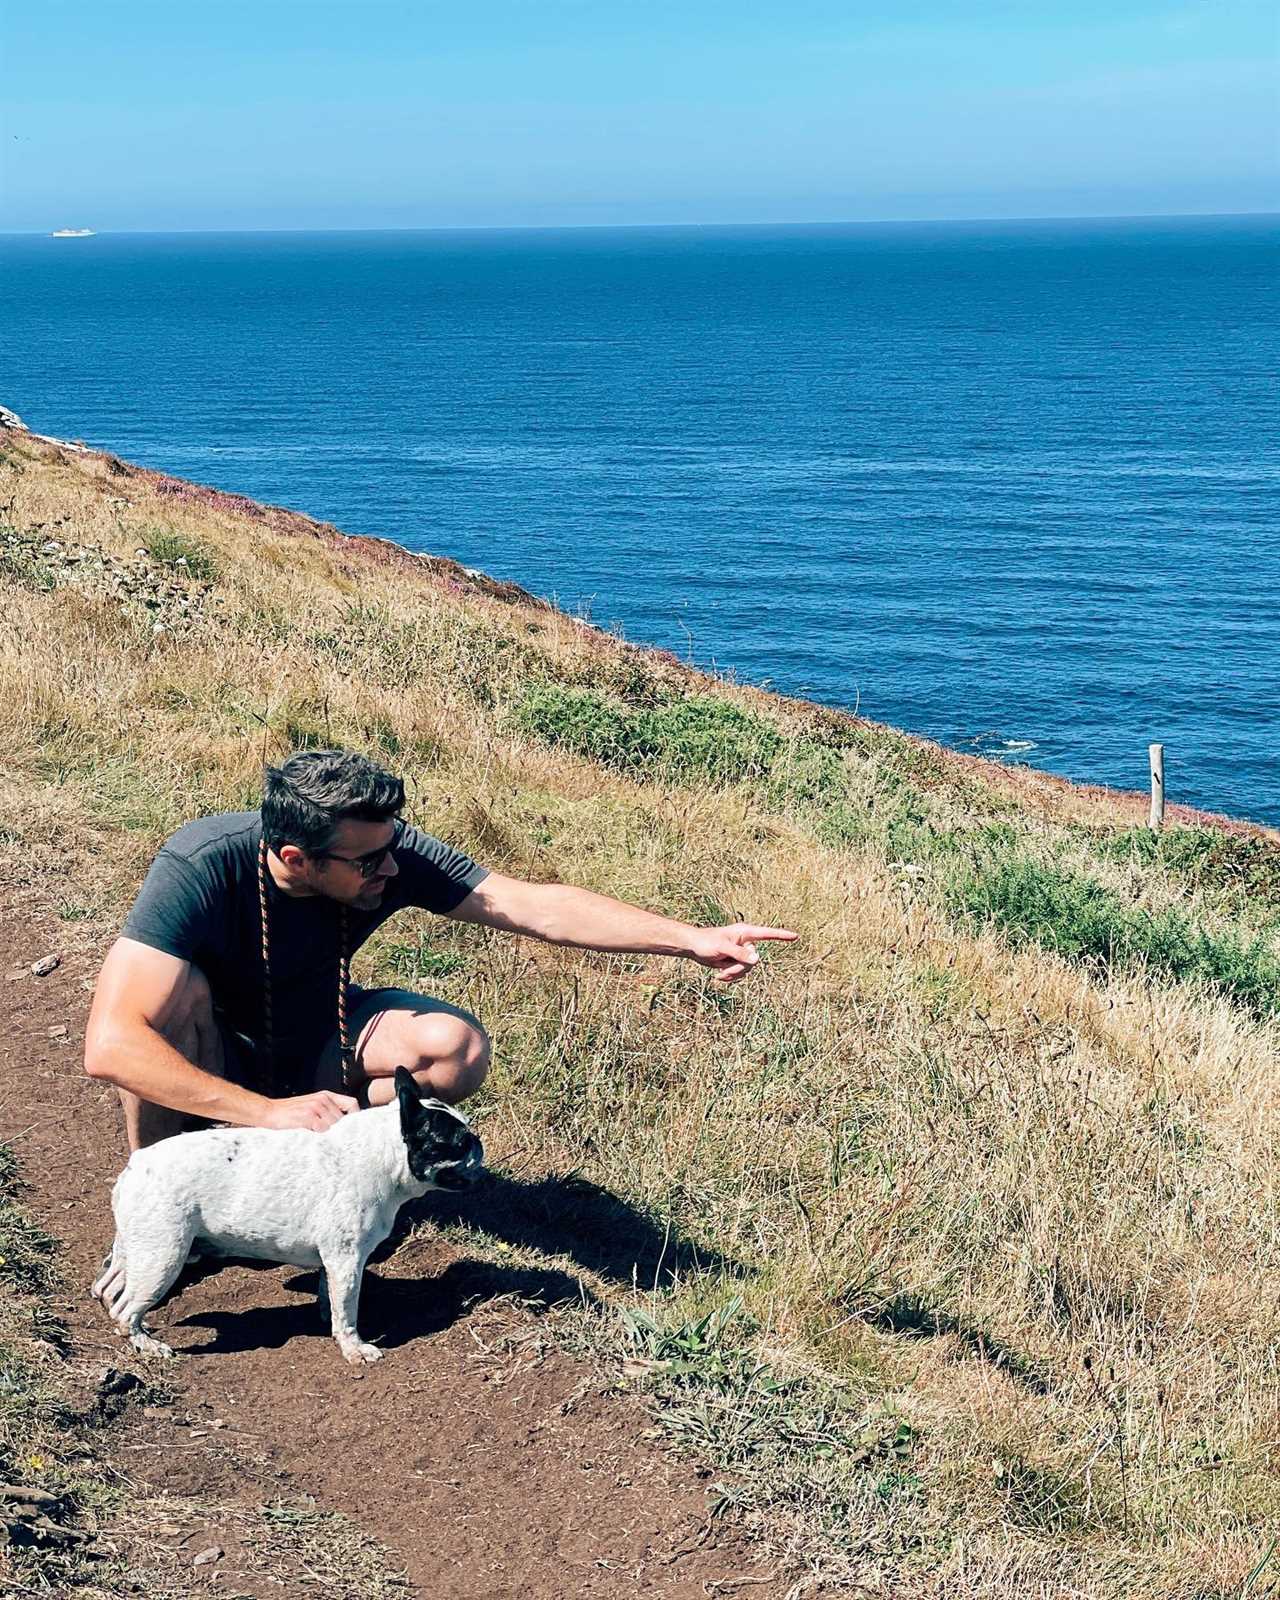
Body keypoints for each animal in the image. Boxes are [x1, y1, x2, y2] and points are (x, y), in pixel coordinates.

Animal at [88, 1068, 480, 1369]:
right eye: (459, 1142)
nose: (479, 1143)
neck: (382, 1154)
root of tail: (136, 1166)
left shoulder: (334, 1262)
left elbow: (331, 1296)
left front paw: (326, 1316)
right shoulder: (347, 1261)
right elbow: (348, 1310)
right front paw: (354, 1347)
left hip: (138, 1248)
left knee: (109, 1287)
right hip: (163, 1257)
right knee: (126, 1309)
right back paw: (147, 1344)